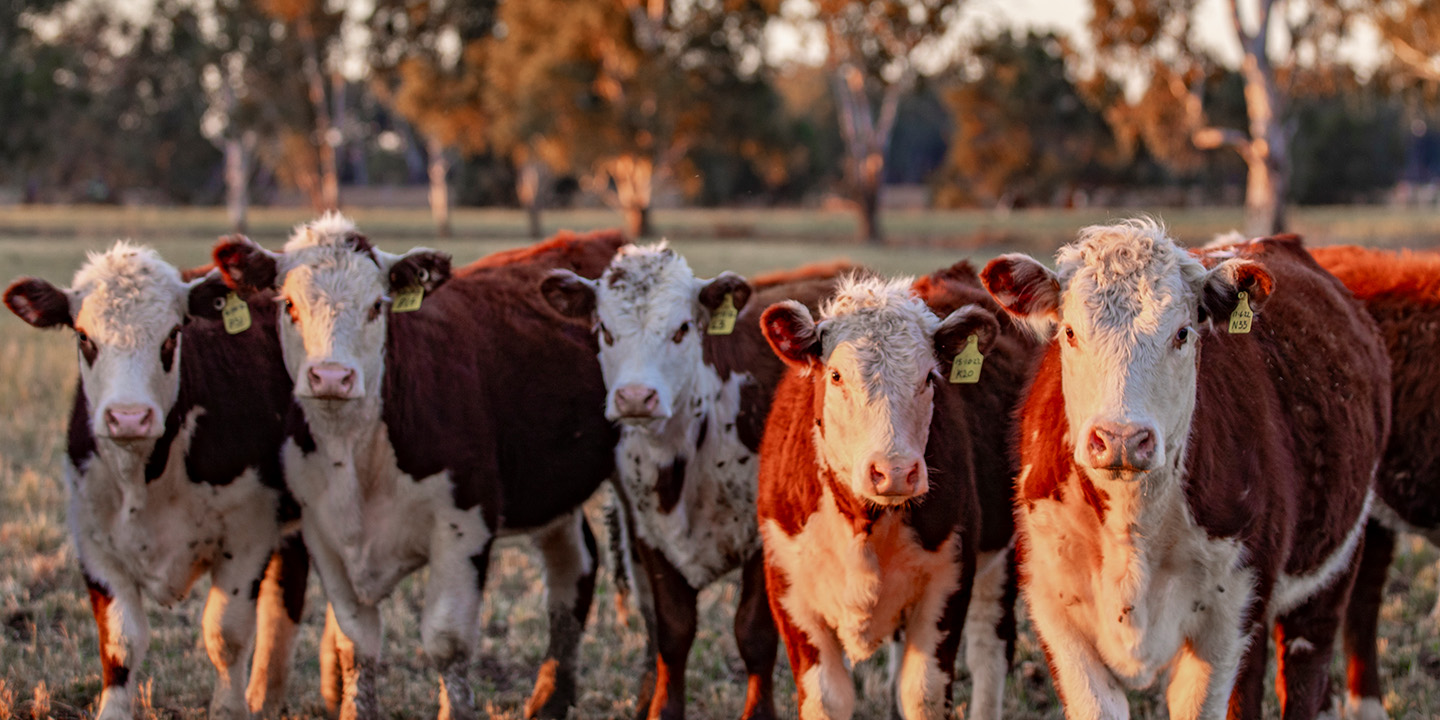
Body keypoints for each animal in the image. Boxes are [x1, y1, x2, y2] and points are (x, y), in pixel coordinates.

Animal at [3, 243, 308, 720]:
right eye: (84, 337)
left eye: (171, 336)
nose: (128, 417)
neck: (145, 476)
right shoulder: (94, 544)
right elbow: (120, 643)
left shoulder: (248, 536)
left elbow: (226, 636)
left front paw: (229, 708)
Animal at [212, 215, 624, 720]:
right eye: (289, 304)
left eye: (377, 306)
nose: (331, 376)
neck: (359, 452)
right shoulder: (323, 532)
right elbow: (356, 645)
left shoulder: (464, 524)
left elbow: (447, 642)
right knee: (575, 566)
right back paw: (549, 700)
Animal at [539, 243, 856, 720]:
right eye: (604, 330)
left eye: (682, 328)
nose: (635, 397)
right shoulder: (649, 533)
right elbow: (673, 631)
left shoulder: (765, 540)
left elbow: (753, 634)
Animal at [756, 273, 1009, 720]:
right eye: (836, 376)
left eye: (929, 378)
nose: (894, 472)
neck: (864, 522)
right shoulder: (788, 587)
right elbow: (827, 696)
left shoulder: (950, 578)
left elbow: (923, 692)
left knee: (988, 652)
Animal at [980, 220, 1390, 720]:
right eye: (1071, 332)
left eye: (1182, 333)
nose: (1121, 438)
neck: (1133, 529)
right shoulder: (1056, 613)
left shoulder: (1225, 622)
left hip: (1329, 575)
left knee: (1305, 671)